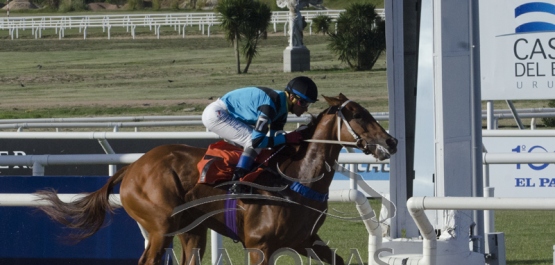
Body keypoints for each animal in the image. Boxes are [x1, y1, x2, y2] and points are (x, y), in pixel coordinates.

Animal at [37, 93, 398, 264]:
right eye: (358, 115)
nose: (391, 141)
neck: (297, 178)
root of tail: (133, 167)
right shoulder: (259, 246)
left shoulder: (307, 241)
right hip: (160, 227)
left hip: (192, 230)